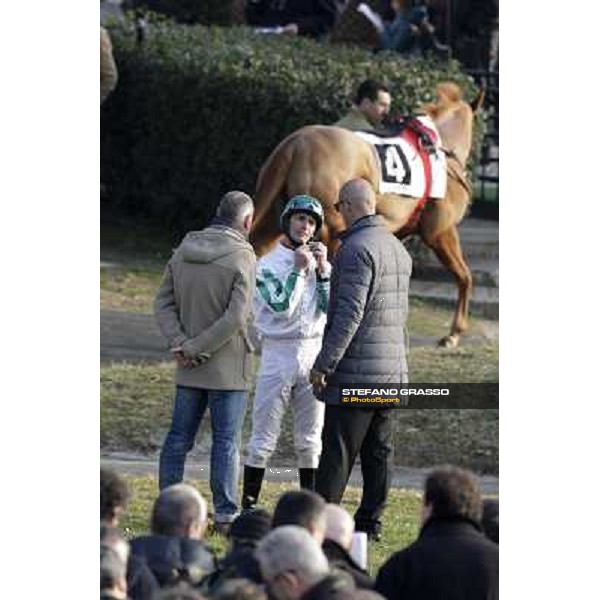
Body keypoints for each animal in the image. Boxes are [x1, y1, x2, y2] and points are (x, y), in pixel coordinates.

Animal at [251, 82, 486, 350]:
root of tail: (295, 143)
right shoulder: (440, 232)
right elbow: (464, 276)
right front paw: (455, 332)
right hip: (331, 231)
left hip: (276, 220)